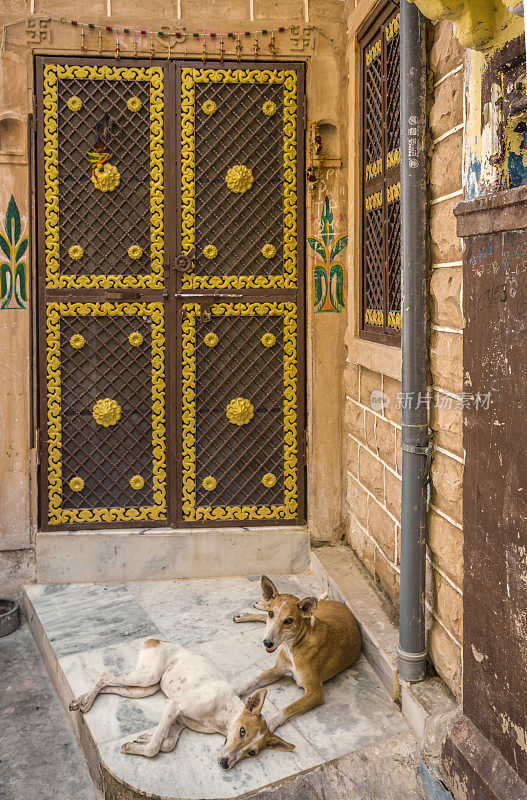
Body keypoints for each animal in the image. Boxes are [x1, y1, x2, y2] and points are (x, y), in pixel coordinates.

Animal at [68, 636, 294, 768]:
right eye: (242, 731)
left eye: (252, 752)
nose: (224, 763)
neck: (223, 714)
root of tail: (155, 639)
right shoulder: (173, 705)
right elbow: (155, 748)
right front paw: (138, 747)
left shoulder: (178, 722)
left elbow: (167, 743)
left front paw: (144, 738)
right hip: (147, 677)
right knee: (104, 676)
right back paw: (86, 702)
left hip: (144, 688)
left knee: (110, 684)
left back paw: (80, 700)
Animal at [235, 576, 364, 732]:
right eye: (272, 613)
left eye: (289, 620)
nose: (267, 643)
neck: (294, 645)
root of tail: (338, 603)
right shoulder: (277, 669)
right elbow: (252, 681)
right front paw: (234, 690)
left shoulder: (315, 693)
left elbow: (287, 709)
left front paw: (270, 724)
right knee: (266, 610)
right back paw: (254, 608)